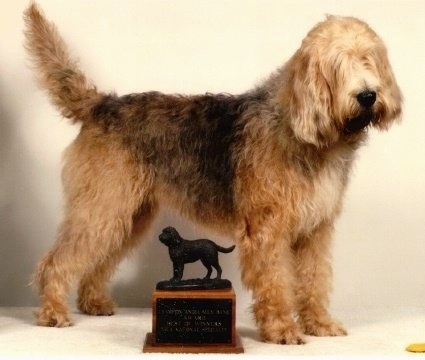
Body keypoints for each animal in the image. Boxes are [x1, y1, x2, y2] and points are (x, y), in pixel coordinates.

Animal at [24, 2, 400, 344]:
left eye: (369, 59)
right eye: (337, 63)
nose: (368, 95)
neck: (298, 128)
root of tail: (102, 104)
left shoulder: (315, 231)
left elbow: (314, 279)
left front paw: (319, 323)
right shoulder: (267, 229)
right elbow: (276, 281)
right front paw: (281, 329)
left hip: (128, 215)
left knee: (99, 259)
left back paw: (93, 302)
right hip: (102, 206)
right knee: (56, 260)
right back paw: (53, 311)